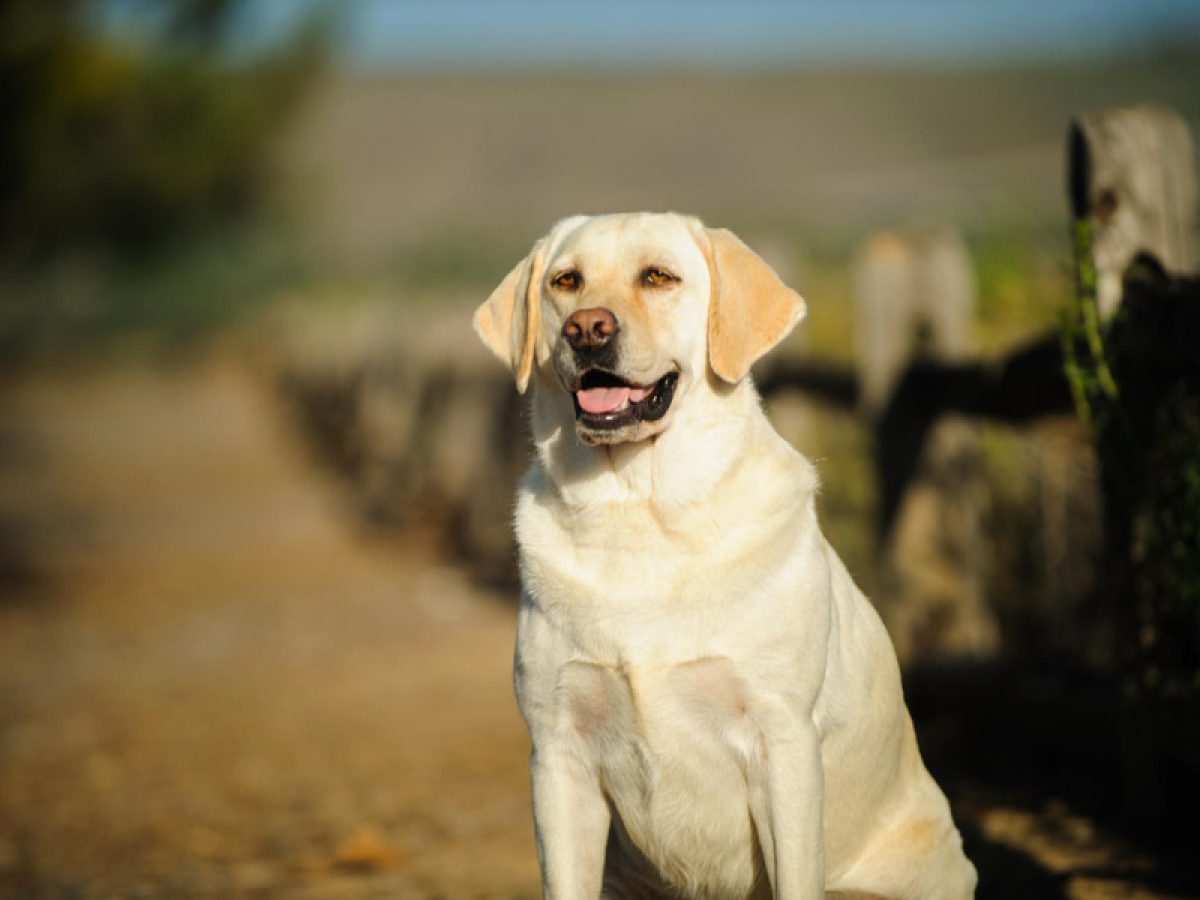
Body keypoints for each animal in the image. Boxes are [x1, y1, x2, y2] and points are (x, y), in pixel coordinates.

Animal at [470, 213, 974, 900]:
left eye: (658, 277)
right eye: (565, 281)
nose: (587, 328)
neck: (640, 513)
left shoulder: (782, 741)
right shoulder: (557, 752)